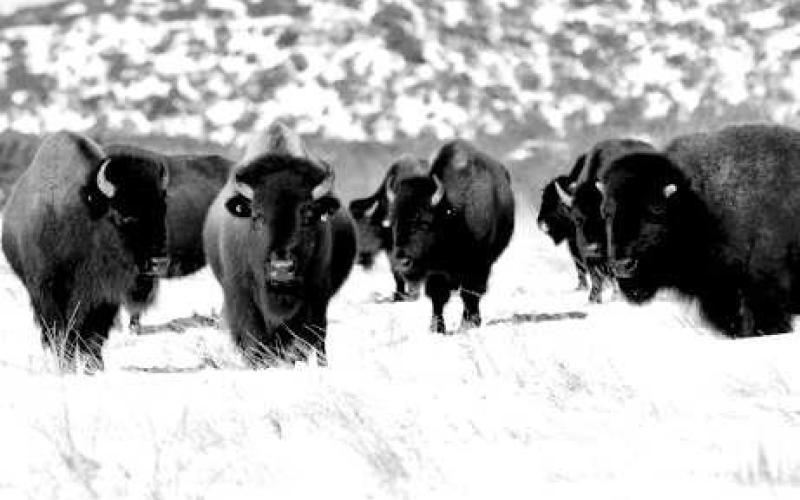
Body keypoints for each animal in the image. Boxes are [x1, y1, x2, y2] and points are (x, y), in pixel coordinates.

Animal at [2, 131, 169, 370]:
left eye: (162, 209)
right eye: (122, 215)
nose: (158, 263)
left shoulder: (103, 295)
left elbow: (93, 332)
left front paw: (94, 365)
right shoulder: (47, 287)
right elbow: (60, 327)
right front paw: (67, 364)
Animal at [203, 122, 356, 365]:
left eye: (308, 215)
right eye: (257, 216)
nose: (281, 269)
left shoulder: (316, 298)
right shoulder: (241, 295)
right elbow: (253, 339)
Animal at [387, 140, 514, 333]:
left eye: (424, 222)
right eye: (393, 222)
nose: (402, 262)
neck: (453, 213)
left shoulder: (478, 265)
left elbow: (470, 293)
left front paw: (469, 323)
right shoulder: (436, 271)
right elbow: (437, 296)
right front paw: (436, 327)